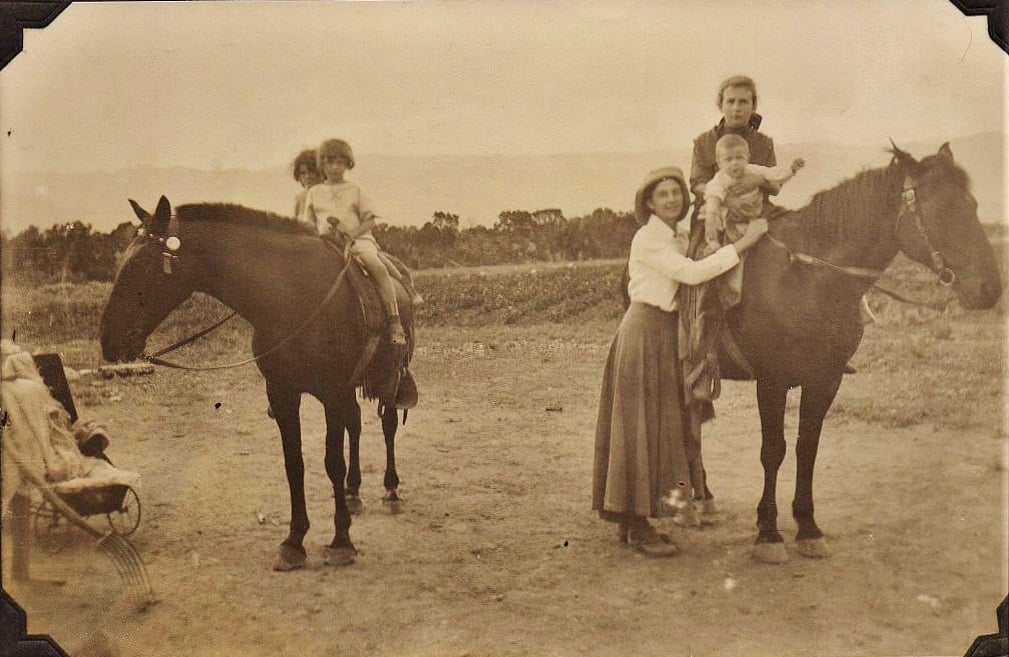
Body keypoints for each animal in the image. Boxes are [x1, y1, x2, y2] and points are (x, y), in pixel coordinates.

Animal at [99, 197, 413, 573]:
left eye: (142, 265)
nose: (108, 341)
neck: (292, 296)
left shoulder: (332, 392)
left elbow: (332, 462)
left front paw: (341, 542)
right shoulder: (283, 393)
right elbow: (294, 465)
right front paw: (294, 541)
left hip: (391, 376)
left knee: (389, 424)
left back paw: (391, 490)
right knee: (356, 425)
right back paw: (353, 493)